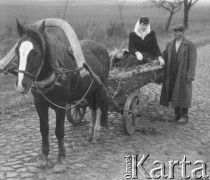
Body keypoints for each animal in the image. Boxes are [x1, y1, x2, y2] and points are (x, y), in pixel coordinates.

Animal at [14, 20, 110, 173]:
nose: (21, 85)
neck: (55, 73)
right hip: (89, 91)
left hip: (101, 87)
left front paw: (60, 161)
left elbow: (59, 132)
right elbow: (44, 129)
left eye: (35, 52)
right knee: (93, 108)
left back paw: (96, 134)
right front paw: (43, 158)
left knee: (100, 108)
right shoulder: (39, 104)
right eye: (17, 51)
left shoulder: (60, 106)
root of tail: (102, 48)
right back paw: (89, 134)